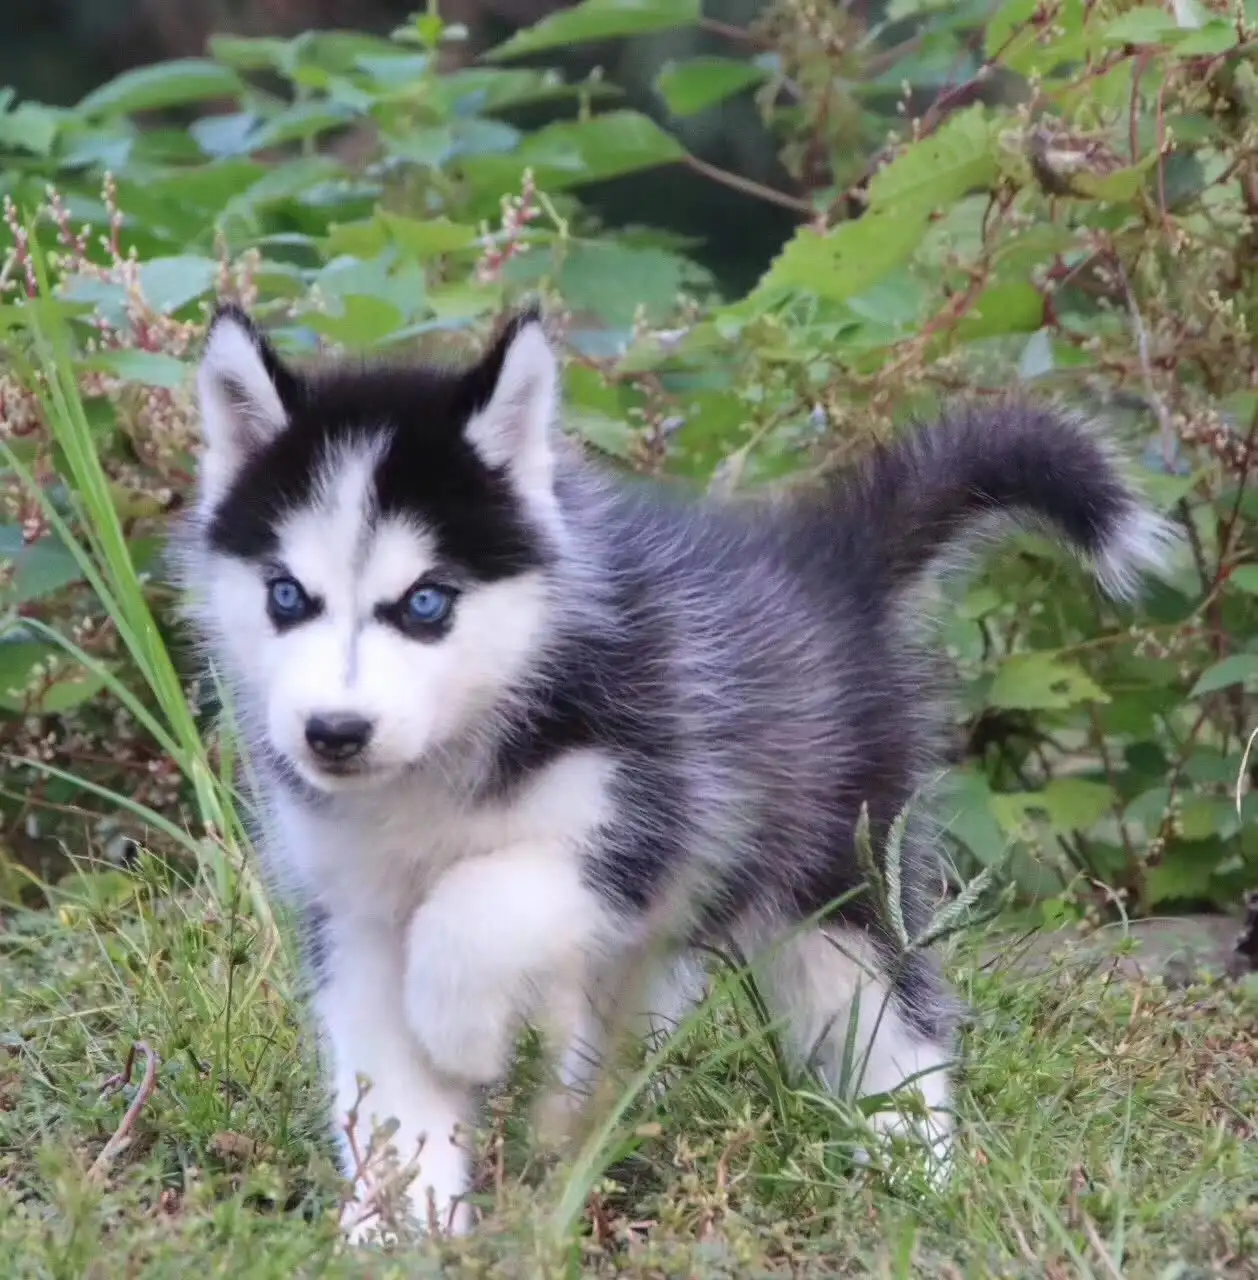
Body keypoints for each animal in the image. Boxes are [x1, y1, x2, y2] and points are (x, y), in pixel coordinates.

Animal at [174, 304, 1172, 1233]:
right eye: (287, 596)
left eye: (425, 603)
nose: (334, 733)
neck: (442, 768)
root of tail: (831, 564)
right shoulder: (351, 911)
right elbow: (388, 1092)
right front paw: (399, 1228)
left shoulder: (660, 820)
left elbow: (480, 906)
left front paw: (463, 1030)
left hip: (834, 877)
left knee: (896, 1024)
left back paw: (916, 1171)